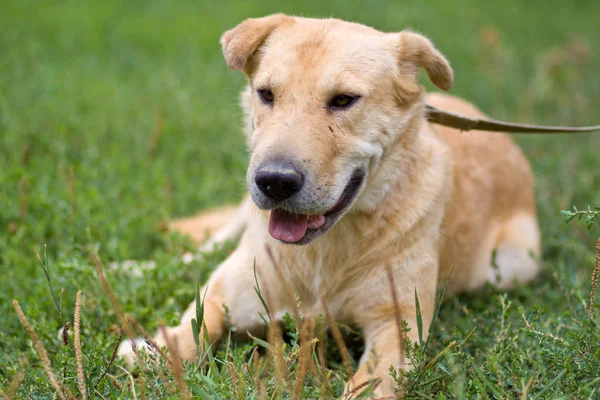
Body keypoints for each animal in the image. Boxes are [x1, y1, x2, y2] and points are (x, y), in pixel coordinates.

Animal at [117, 14, 540, 398]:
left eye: (343, 100)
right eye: (266, 94)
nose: (274, 181)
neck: (322, 251)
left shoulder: (398, 327)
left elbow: (370, 384)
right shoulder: (231, 288)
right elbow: (197, 323)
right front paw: (155, 348)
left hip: (511, 266)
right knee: (202, 249)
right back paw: (133, 269)